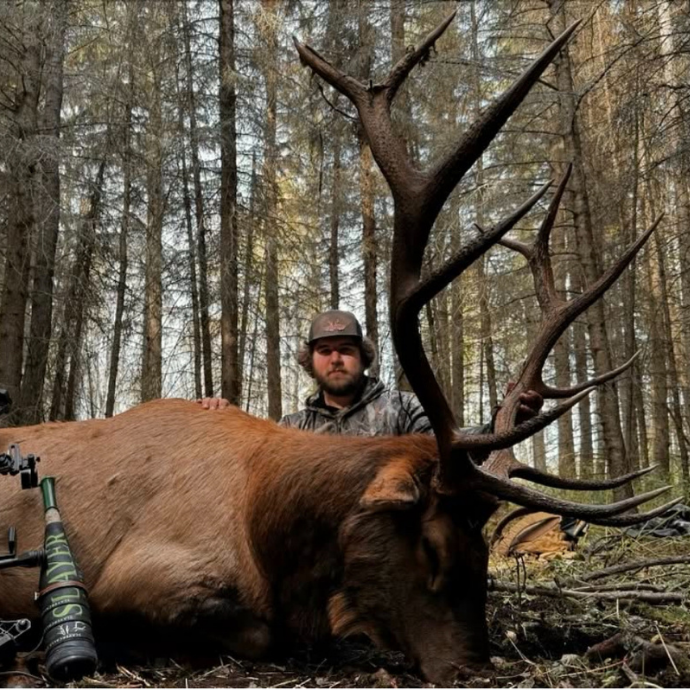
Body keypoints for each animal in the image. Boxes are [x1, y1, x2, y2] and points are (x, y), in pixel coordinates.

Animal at [0, 12, 676, 685]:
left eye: (485, 549)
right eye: (431, 545)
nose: (473, 668)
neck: (267, 525)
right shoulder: (131, 576)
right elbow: (262, 632)